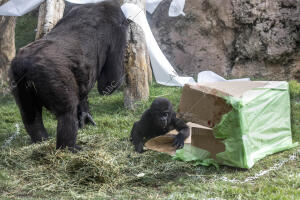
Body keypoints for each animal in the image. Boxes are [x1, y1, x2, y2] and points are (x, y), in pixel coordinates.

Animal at [8, 0, 128, 152]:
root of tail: (24, 63)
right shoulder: (118, 27)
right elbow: (110, 82)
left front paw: (84, 114)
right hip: (50, 73)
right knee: (67, 112)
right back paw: (68, 148)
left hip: (16, 78)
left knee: (29, 114)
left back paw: (41, 139)